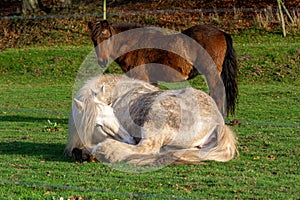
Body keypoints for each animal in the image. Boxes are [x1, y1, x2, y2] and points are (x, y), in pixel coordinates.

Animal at [65, 74, 237, 166]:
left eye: (113, 114)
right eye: (99, 125)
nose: (130, 139)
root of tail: (218, 122)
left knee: (146, 148)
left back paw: (105, 150)